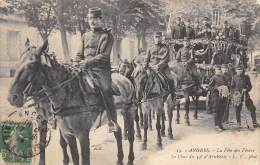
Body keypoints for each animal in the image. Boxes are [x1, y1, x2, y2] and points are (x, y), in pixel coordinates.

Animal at [7, 40, 136, 165]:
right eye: (17, 64)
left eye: (32, 64)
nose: (12, 98)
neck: (69, 95)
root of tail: (125, 79)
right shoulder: (64, 131)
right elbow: (70, 154)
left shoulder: (82, 135)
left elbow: (83, 159)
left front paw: (65, 160)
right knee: (118, 133)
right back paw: (119, 159)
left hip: (129, 112)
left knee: (130, 135)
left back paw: (130, 159)